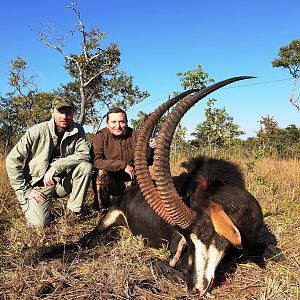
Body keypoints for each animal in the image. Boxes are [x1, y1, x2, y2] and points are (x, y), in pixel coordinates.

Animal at [39, 76, 262, 296]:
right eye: (187, 240)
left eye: (206, 233)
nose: (194, 289)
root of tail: (128, 192)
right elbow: (159, 264)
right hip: (107, 218)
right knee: (86, 238)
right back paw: (47, 253)